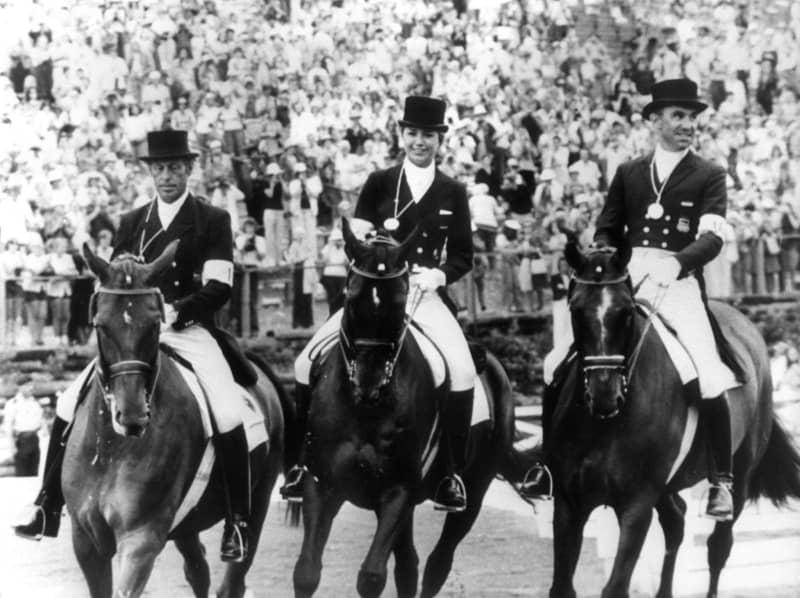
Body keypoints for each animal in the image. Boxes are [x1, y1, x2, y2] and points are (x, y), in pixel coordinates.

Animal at [66, 241, 296, 596]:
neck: (110, 449)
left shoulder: (141, 540)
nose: (132, 416)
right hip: (187, 524)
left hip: (257, 502)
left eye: (154, 325)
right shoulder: (85, 541)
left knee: (232, 580)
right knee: (198, 570)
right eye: (100, 325)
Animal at [294, 221, 524, 598]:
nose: (369, 386)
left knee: (436, 563)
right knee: (409, 565)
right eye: (351, 297)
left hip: (474, 490)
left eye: (400, 300)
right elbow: (307, 572)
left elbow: (372, 576)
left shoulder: (397, 491)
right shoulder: (320, 483)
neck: (362, 411)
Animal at [548, 245, 800, 598]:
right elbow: (560, 586)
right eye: (576, 310)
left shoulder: (637, 505)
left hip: (740, 474)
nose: (604, 394)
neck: (605, 425)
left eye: (626, 312)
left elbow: (615, 586)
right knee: (676, 523)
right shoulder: (569, 504)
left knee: (718, 546)